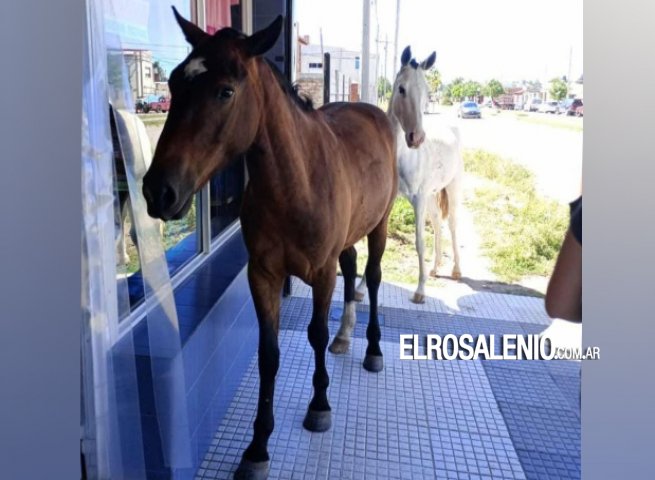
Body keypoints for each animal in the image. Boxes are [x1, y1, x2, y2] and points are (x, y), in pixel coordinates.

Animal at [144, 8, 398, 480]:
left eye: (226, 91)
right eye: (172, 82)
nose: (158, 191)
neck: (296, 183)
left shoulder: (320, 273)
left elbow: (314, 333)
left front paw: (319, 405)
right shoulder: (262, 274)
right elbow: (268, 354)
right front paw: (258, 446)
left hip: (381, 224)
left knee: (371, 278)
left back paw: (372, 348)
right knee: (352, 267)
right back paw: (345, 336)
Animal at [356, 47, 464, 304]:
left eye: (426, 93)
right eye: (401, 89)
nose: (417, 137)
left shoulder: (419, 199)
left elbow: (419, 242)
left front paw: (420, 290)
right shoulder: (392, 201)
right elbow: (376, 246)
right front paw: (361, 288)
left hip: (452, 188)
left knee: (452, 224)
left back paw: (456, 270)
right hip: (433, 195)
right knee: (437, 221)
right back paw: (435, 268)